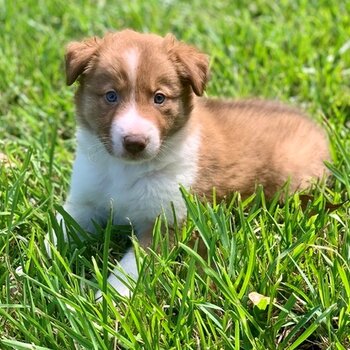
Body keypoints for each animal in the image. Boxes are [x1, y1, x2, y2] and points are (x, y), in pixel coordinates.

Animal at [51, 29, 328, 298]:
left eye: (159, 98)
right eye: (111, 96)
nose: (135, 142)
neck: (125, 170)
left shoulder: (168, 222)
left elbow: (129, 268)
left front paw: (109, 299)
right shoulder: (83, 203)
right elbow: (55, 232)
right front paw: (41, 265)